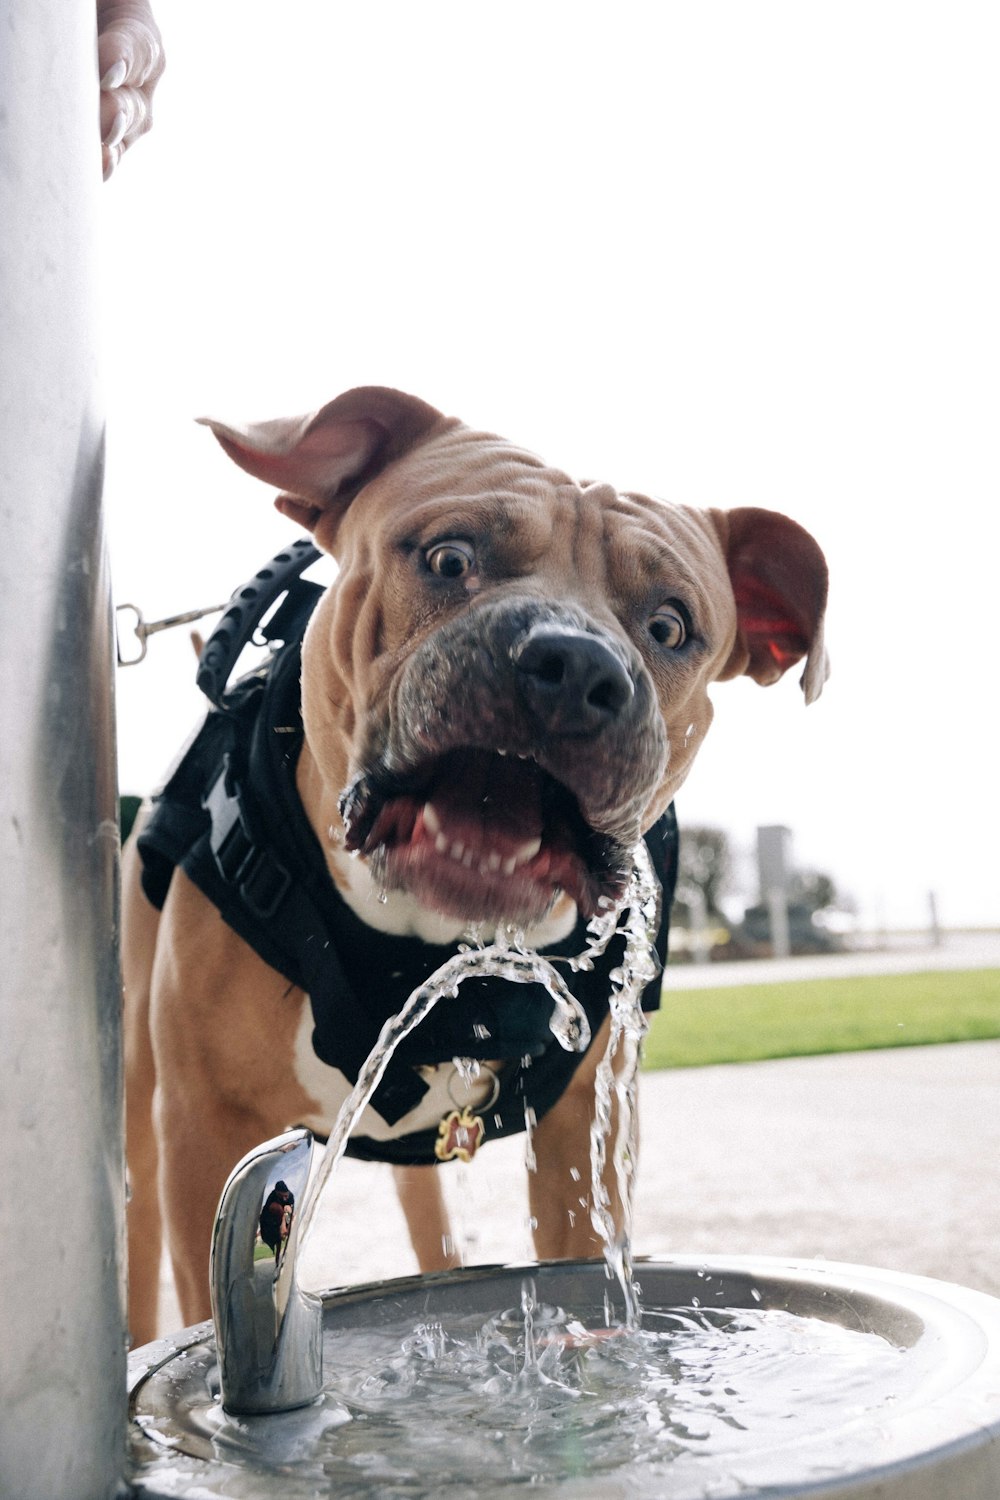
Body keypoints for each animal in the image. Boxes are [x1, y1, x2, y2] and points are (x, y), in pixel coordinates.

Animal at [119, 387, 827, 1350]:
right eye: (450, 558)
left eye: (671, 625)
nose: (576, 665)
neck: (427, 943)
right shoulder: (204, 1127)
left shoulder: (586, 1133)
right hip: (140, 1104)